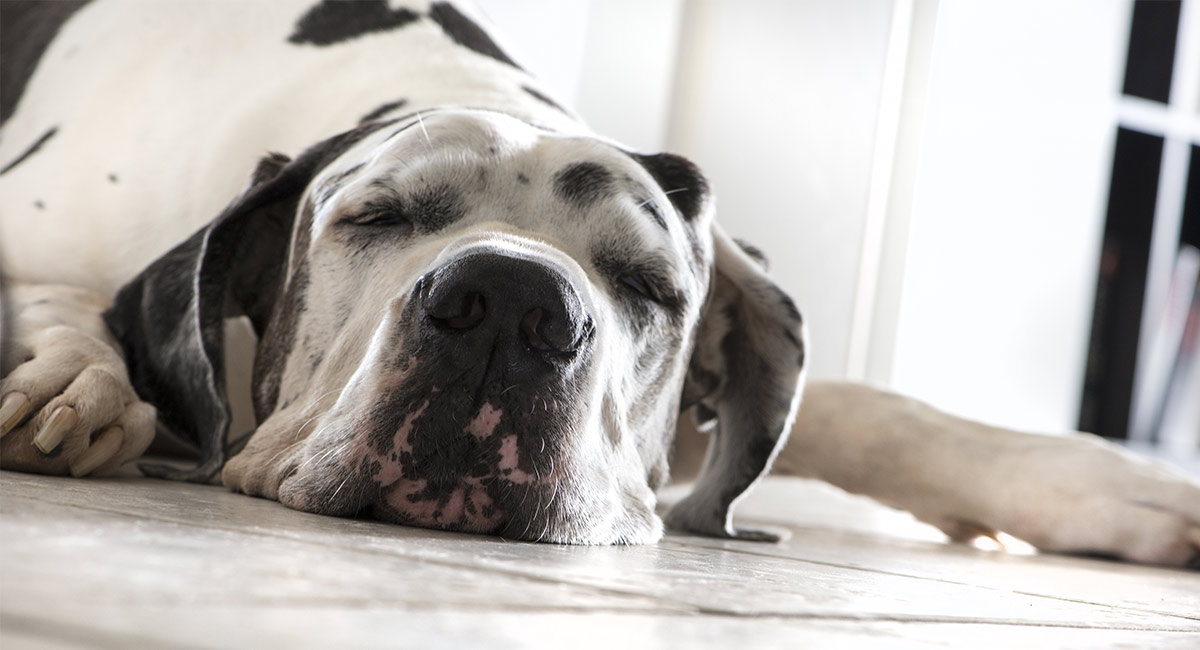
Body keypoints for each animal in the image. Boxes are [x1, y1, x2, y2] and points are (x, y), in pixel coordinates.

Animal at [2, 0, 1200, 563]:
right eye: (376, 217)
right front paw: (77, 376)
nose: (512, 303)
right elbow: (62, 299)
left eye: (648, 284)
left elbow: (862, 407)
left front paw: (1111, 484)